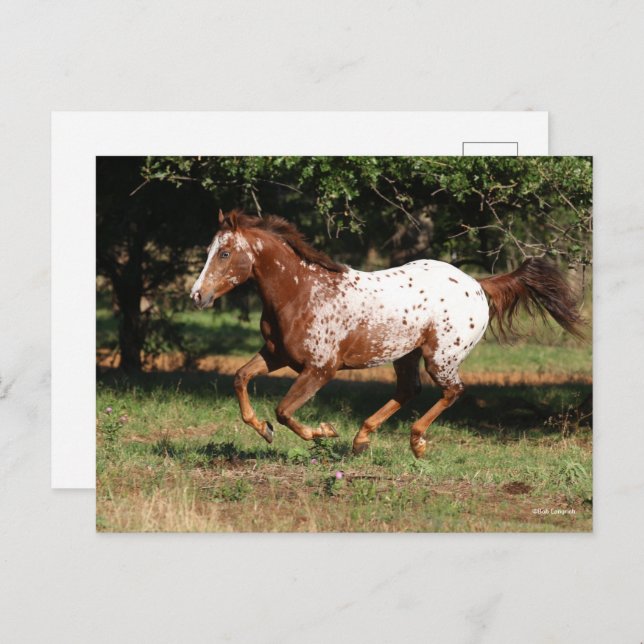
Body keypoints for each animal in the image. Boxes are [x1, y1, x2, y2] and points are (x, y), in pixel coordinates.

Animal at [190, 209, 584, 458]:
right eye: (209, 250)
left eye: (225, 253)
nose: (197, 296)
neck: (300, 292)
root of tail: (477, 284)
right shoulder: (276, 355)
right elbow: (240, 379)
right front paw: (264, 429)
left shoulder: (320, 369)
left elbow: (285, 410)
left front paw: (323, 433)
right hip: (406, 355)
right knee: (410, 390)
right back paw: (362, 440)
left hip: (441, 357)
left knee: (452, 391)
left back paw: (416, 443)